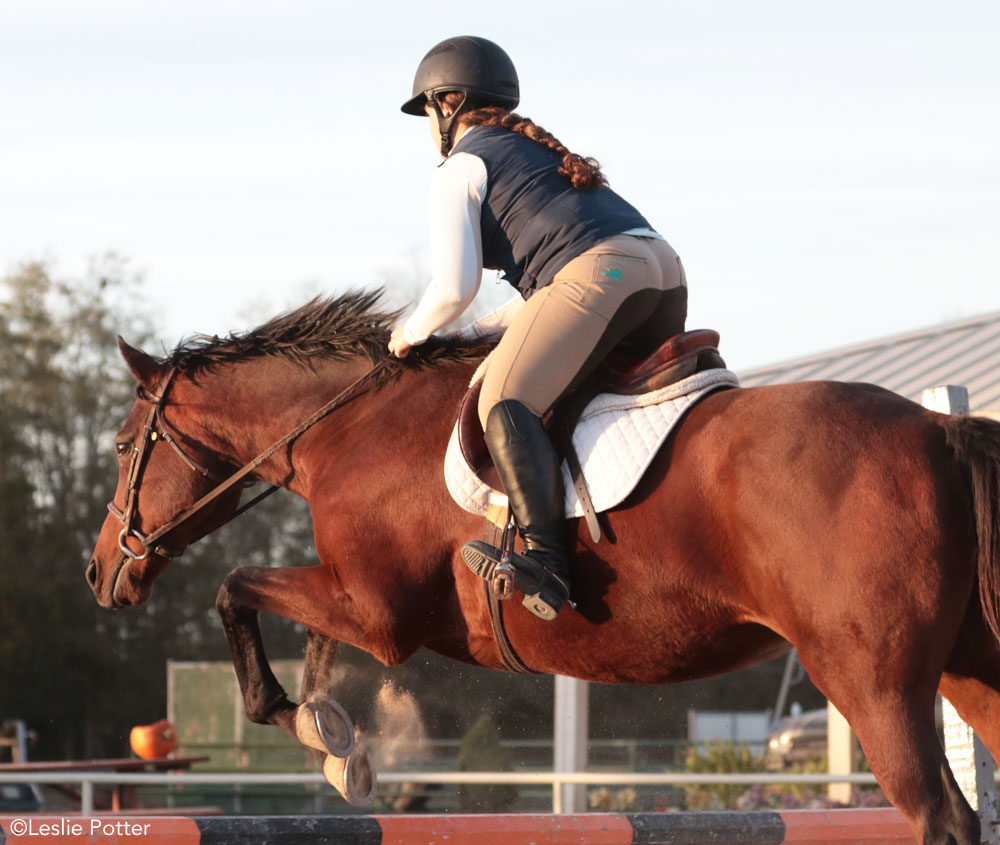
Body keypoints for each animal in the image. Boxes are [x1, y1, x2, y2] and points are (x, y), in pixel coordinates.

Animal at [88, 292, 1000, 844]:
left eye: (126, 446)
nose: (101, 573)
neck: (347, 426)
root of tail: (937, 429)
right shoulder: (349, 594)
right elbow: (297, 632)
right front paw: (333, 739)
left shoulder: (377, 612)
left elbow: (235, 588)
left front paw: (301, 718)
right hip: (971, 674)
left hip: (871, 683)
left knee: (943, 815)